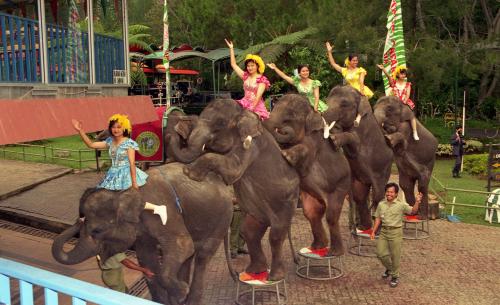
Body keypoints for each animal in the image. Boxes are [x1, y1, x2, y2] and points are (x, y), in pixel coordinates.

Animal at [52, 163, 234, 304]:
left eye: (97, 230)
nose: (78, 220)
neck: (122, 191)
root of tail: (224, 185)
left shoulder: (165, 210)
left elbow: (183, 245)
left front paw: (182, 292)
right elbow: (146, 258)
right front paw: (165, 297)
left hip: (223, 217)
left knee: (202, 255)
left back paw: (189, 298)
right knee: (191, 255)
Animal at [170, 99, 298, 280]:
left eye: (220, 123)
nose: (175, 128)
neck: (243, 112)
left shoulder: (252, 146)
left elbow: (232, 169)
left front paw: (189, 173)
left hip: (286, 202)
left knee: (276, 234)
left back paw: (274, 277)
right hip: (259, 213)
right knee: (249, 232)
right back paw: (254, 271)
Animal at [264, 93, 350, 254]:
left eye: (290, 116)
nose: (282, 129)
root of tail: (323, 199)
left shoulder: (314, 142)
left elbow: (306, 151)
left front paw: (286, 155)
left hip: (341, 185)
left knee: (331, 215)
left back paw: (334, 252)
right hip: (311, 197)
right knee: (311, 214)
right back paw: (316, 247)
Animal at [320, 85, 394, 228]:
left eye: (344, 104)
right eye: (326, 101)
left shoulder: (362, 132)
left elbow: (354, 139)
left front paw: (333, 140)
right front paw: (333, 139)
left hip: (383, 170)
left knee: (378, 195)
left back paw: (374, 226)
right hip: (360, 179)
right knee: (359, 196)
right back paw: (365, 226)